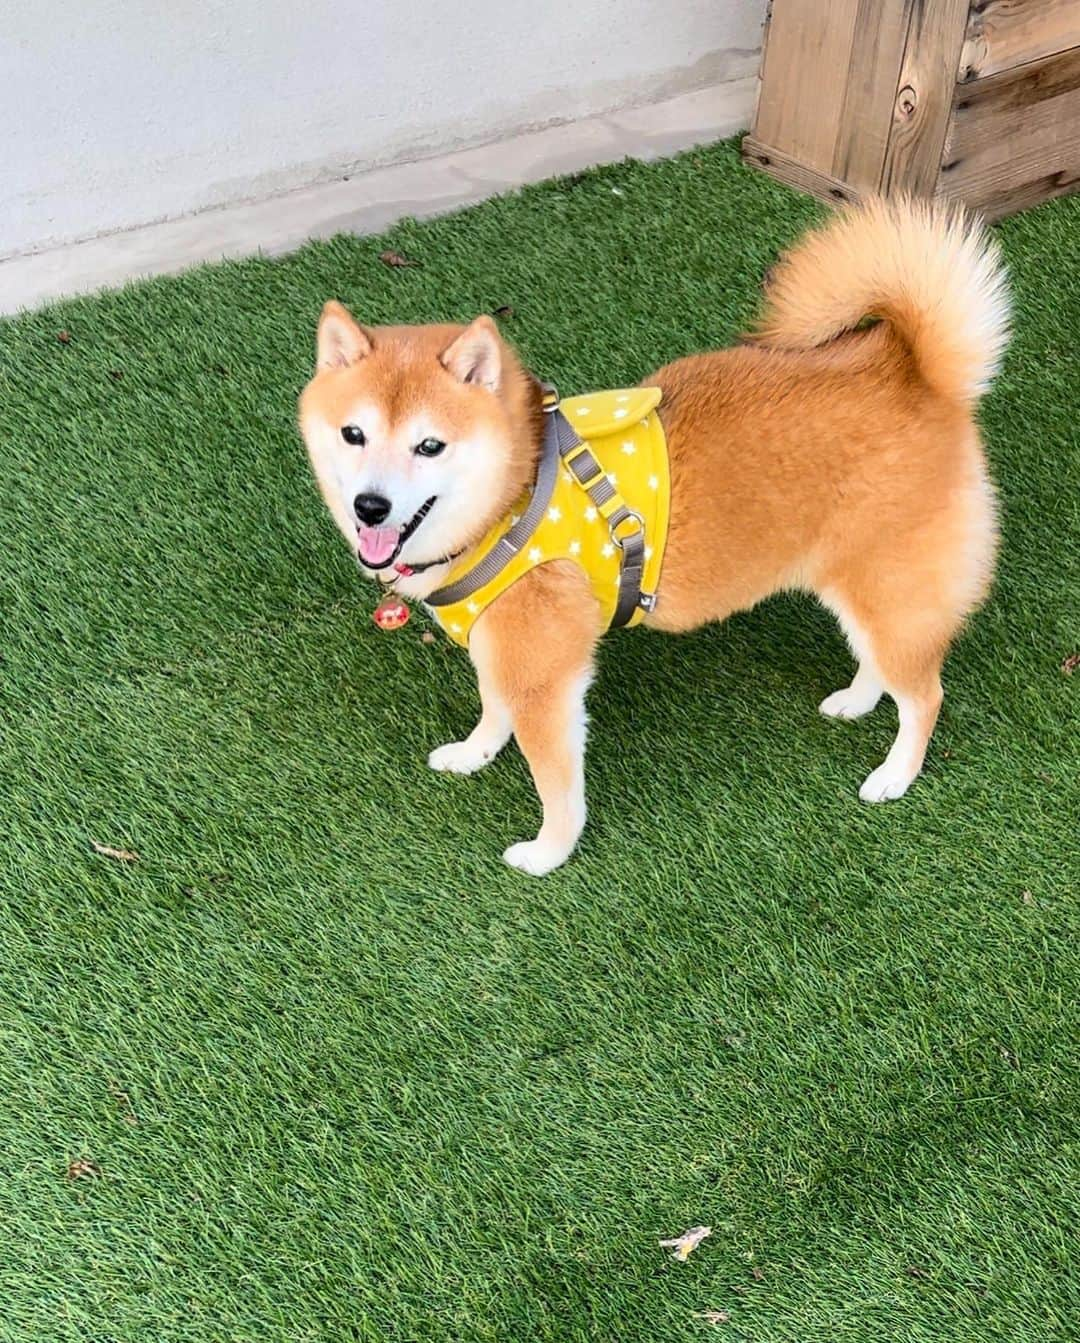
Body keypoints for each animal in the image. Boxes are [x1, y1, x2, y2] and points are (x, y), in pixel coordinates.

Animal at [299, 196, 1010, 870]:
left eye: (430, 446)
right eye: (354, 434)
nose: (370, 506)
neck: (514, 492)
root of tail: (911, 369)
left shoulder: (543, 678)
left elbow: (555, 782)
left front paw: (550, 852)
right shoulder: (502, 649)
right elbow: (492, 710)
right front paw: (474, 754)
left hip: (890, 589)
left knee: (923, 694)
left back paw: (895, 774)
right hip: (858, 588)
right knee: (880, 662)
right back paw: (858, 701)